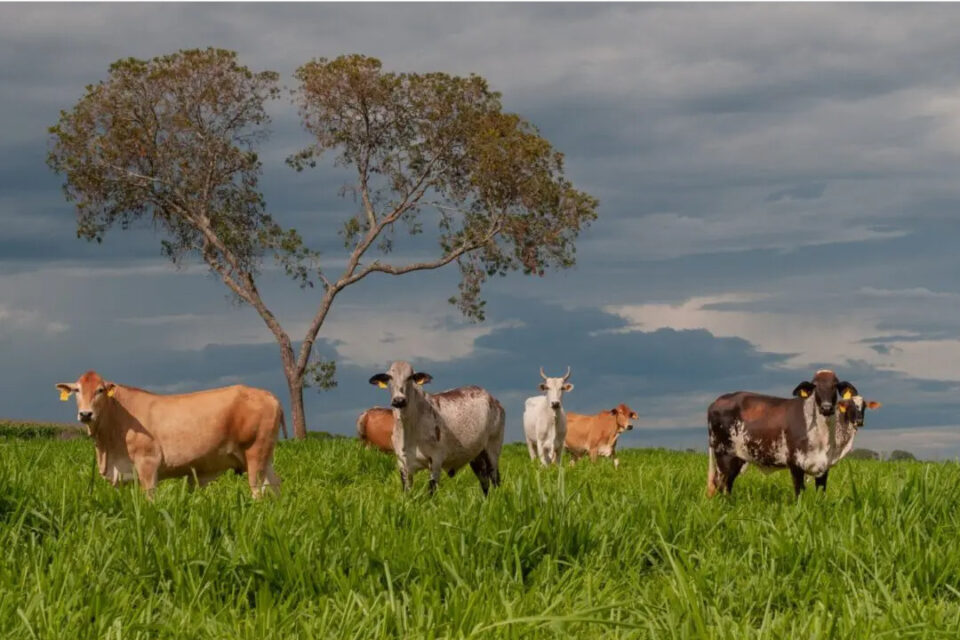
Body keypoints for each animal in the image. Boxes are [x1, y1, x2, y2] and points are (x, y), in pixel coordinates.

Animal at [56, 368, 284, 498]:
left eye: (100, 390)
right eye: (77, 390)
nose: (86, 414)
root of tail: (268, 395)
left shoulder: (148, 464)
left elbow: (150, 498)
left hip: (255, 454)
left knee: (258, 491)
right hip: (266, 456)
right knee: (274, 486)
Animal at [368, 360, 506, 496]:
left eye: (410, 377)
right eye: (389, 377)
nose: (399, 400)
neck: (408, 429)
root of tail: (493, 399)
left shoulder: (435, 461)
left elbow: (431, 491)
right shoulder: (403, 464)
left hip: (492, 450)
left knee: (495, 479)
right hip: (476, 456)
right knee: (484, 482)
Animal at [704, 368, 864, 498]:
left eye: (835, 385)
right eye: (815, 386)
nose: (826, 408)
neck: (822, 438)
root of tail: (717, 402)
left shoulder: (824, 467)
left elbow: (821, 493)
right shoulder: (795, 464)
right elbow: (799, 492)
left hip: (737, 458)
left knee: (728, 484)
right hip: (724, 455)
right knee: (721, 483)